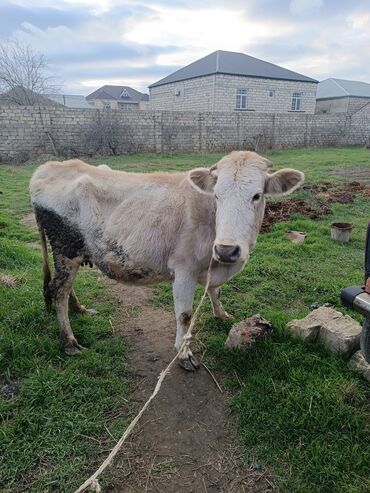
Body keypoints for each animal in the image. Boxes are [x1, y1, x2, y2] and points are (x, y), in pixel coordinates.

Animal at [31, 150, 304, 368]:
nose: (228, 250)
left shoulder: (212, 263)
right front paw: (183, 354)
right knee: (59, 291)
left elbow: (216, 291)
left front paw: (221, 314)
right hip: (66, 248)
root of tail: (46, 169)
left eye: (256, 195)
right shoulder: (184, 270)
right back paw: (69, 341)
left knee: (65, 287)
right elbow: (184, 315)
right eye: (217, 195)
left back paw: (80, 310)